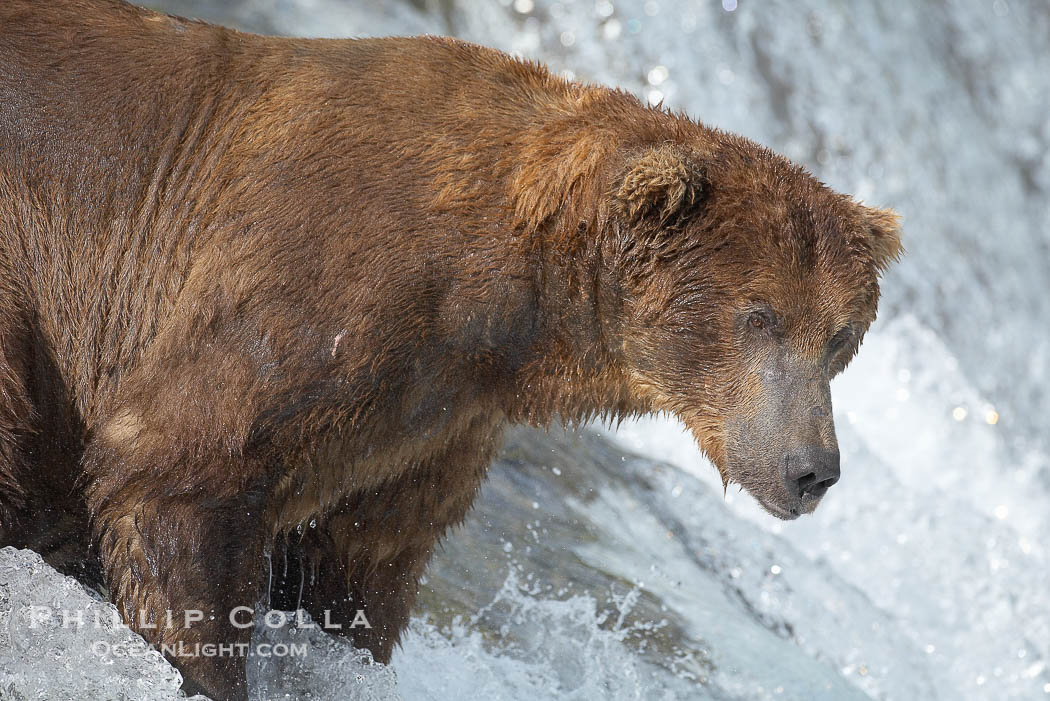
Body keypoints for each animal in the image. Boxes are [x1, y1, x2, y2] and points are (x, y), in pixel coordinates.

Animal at [0, 1, 902, 698]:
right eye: (760, 316)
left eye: (839, 336)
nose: (811, 466)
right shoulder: (327, 286)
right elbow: (177, 466)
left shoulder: (430, 423)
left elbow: (357, 569)